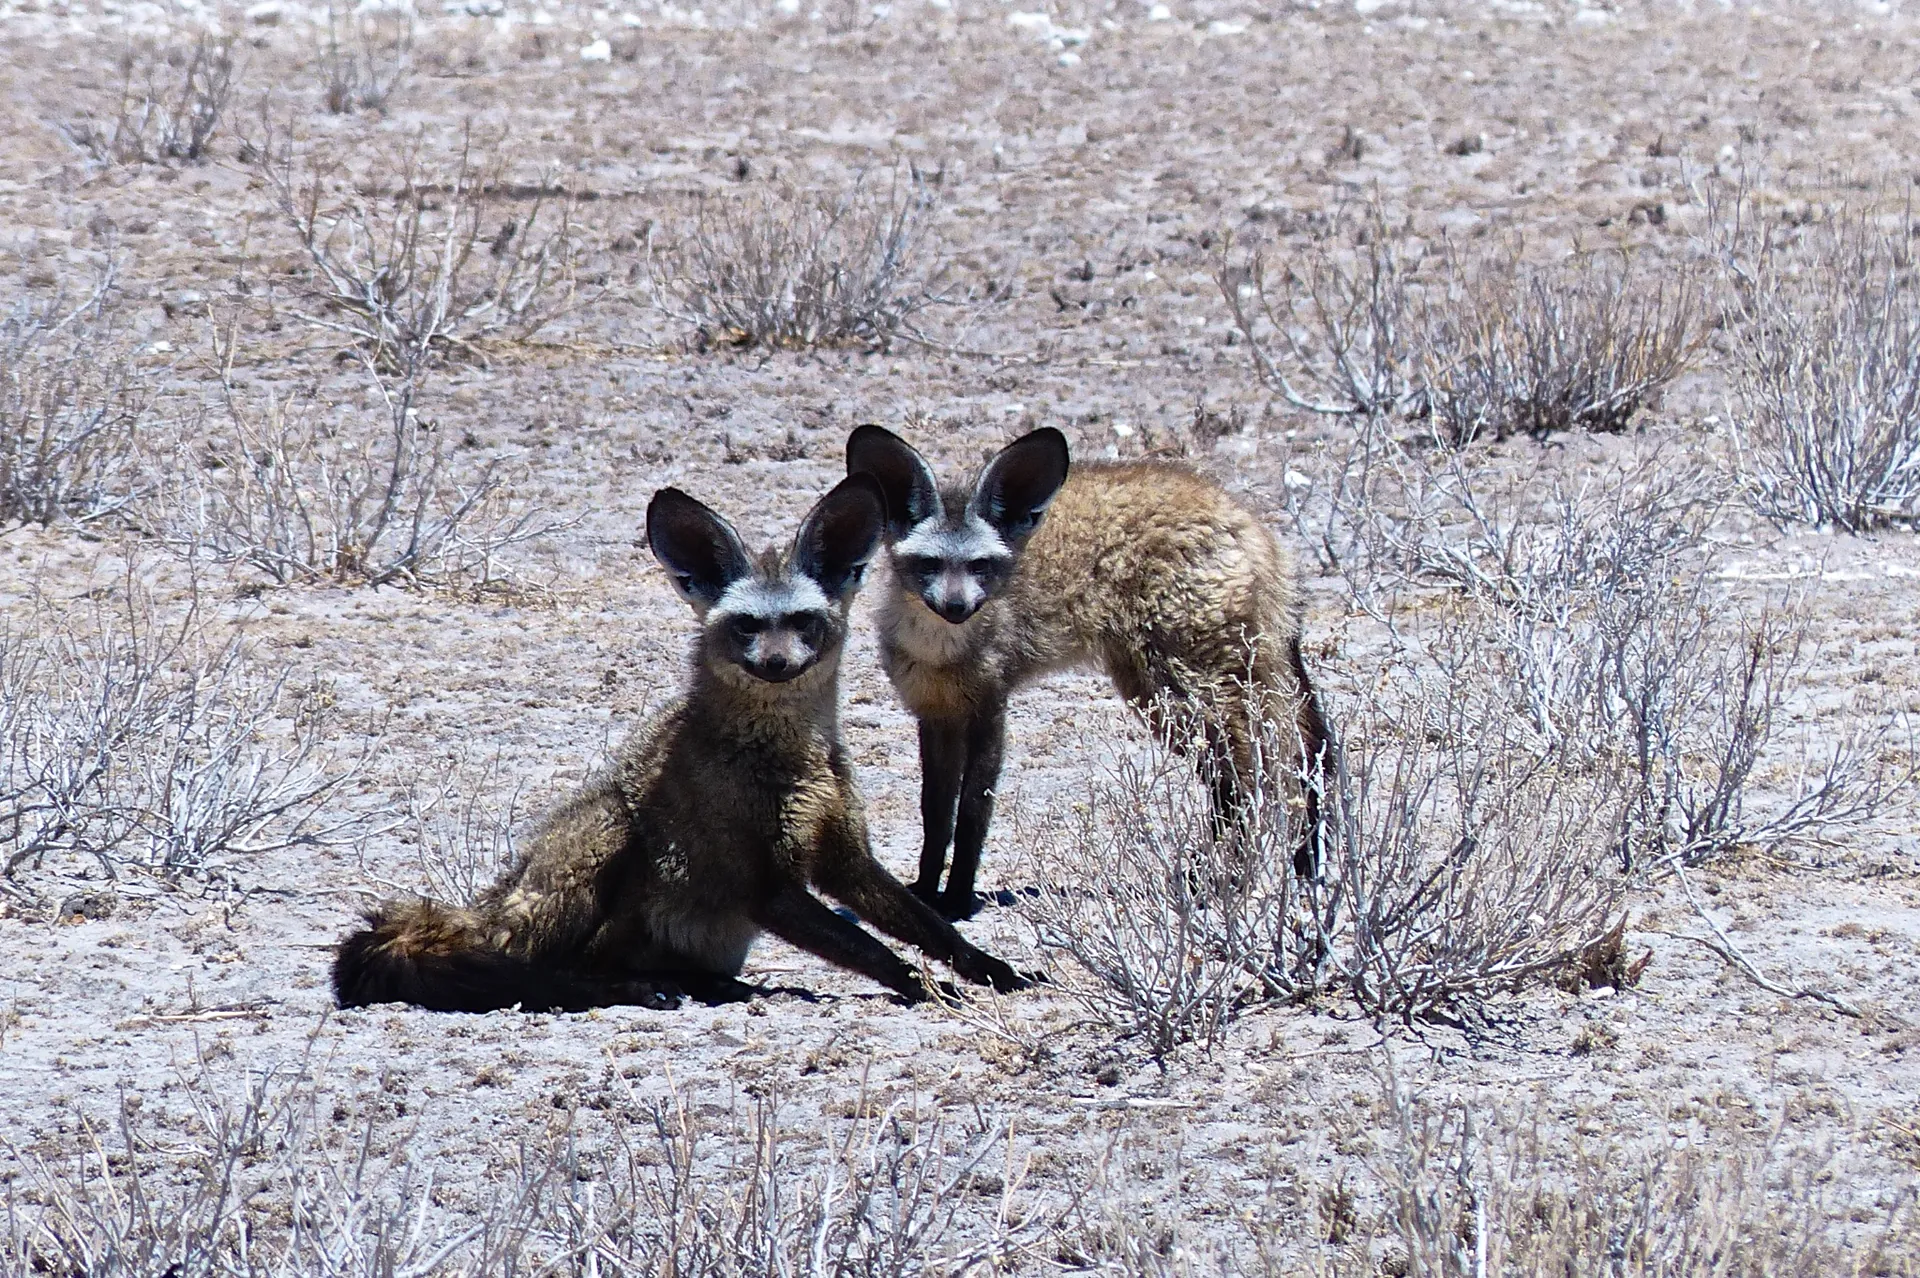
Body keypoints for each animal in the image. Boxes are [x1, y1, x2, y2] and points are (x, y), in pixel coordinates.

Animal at [332, 474, 1028, 1012]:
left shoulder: (843, 858)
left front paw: (997, 971)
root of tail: (487, 908)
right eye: (746, 626)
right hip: (605, 831)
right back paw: (636, 989)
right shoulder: (767, 887)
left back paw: (709, 984)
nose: (776, 665)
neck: (793, 760)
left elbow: (930, 927)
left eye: (803, 622)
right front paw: (933, 991)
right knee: (543, 974)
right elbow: (879, 951)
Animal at [846, 423, 1333, 921]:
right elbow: (936, 816)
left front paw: (958, 899)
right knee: (1302, 754)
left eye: (981, 566)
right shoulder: (934, 715)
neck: (940, 654)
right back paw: (1292, 866)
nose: (957, 607)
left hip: (1181, 692)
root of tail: (1252, 522)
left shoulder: (989, 708)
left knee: (1255, 771)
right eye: (929, 565)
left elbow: (972, 816)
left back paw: (1223, 878)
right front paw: (925, 892)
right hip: (1168, 687)